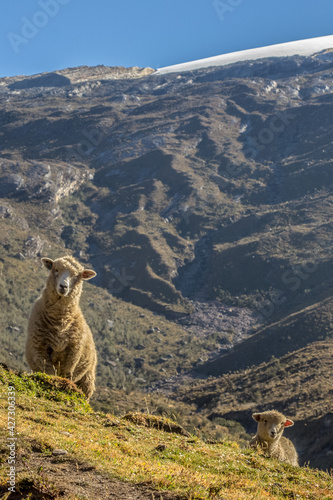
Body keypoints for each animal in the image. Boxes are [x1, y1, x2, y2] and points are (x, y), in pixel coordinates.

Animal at [26, 256, 97, 400]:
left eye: (77, 276)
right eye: (56, 269)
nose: (63, 286)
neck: (60, 322)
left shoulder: (73, 352)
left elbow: (66, 374)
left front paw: (65, 386)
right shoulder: (39, 349)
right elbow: (49, 373)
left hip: (87, 378)